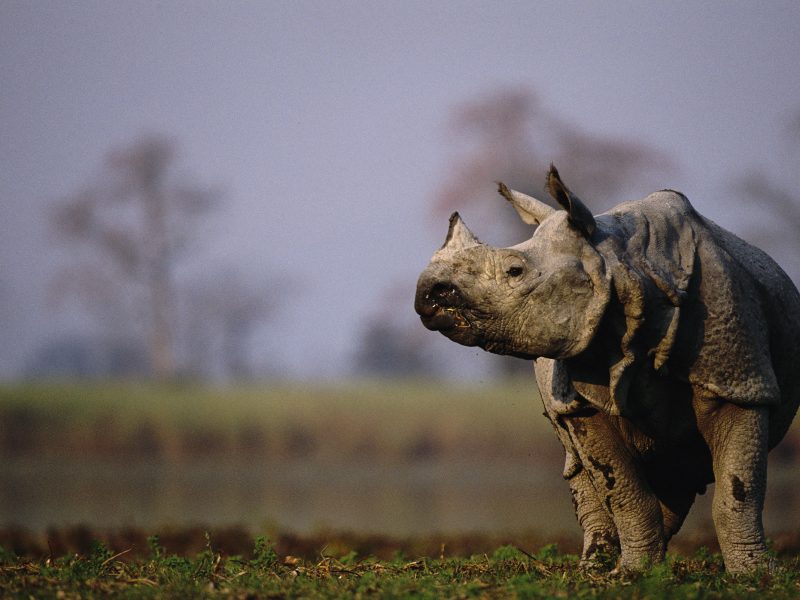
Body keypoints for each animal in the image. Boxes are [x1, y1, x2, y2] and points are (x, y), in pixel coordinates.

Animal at [414, 165, 800, 573]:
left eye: (514, 271)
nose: (428, 293)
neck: (624, 269)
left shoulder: (739, 382)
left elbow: (737, 490)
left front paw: (755, 574)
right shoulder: (584, 396)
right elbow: (623, 489)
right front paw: (633, 573)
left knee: (679, 467)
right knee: (587, 464)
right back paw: (595, 568)